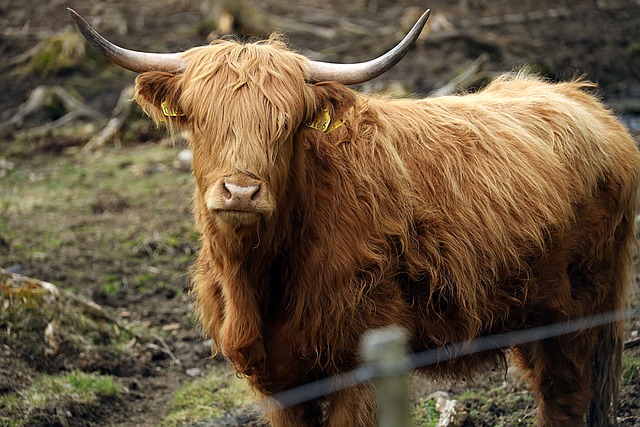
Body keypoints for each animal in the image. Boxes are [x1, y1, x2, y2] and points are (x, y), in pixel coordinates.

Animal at [70, 7, 640, 427]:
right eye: (201, 119)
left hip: (579, 313)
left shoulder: (356, 362)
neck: (259, 275)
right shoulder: (278, 381)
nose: (241, 191)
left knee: (565, 399)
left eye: (287, 124)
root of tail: (581, 98)